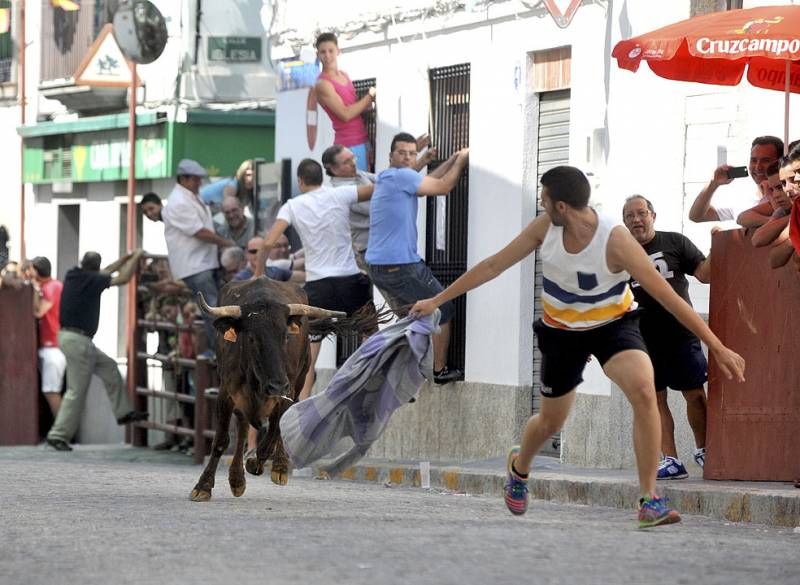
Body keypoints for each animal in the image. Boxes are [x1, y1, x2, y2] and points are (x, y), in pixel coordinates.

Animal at [191, 276, 356, 500]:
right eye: (252, 338)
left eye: (285, 336)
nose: (277, 384)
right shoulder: (227, 394)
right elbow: (221, 440)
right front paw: (203, 486)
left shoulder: (286, 392)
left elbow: (274, 431)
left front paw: (259, 463)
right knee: (243, 428)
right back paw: (237, 479)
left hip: (298, 382)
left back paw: (278, 467)